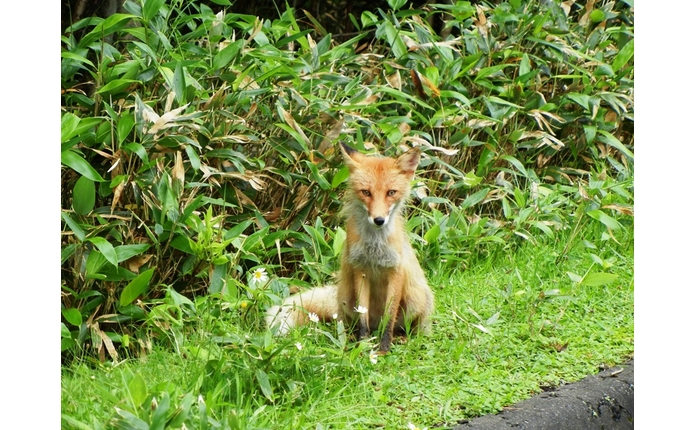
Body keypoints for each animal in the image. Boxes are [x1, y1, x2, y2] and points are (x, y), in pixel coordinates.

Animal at [266, 143, 436, 352]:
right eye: (366, 192)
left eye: (391, 192)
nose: (379, 220)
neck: (374, 247)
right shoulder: (359, 270)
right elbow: (362, 319)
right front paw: (362, 346)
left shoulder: (395, 270)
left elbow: (389, 318)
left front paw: (383, 349)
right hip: (346, 298)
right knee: (354, 322)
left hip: (415, 299)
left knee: (405, 326)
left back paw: (404, 338)